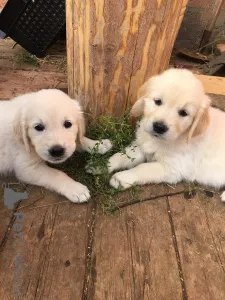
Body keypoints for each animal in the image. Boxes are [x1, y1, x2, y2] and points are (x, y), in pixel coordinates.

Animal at [107, 68, 225, 202]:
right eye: (158, 101)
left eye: (184, 112)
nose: (159, 127)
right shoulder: (142, 147)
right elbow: (123, 155)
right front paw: (103, 165)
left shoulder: (173, 169)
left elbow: (143, 168)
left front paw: (121, 178)